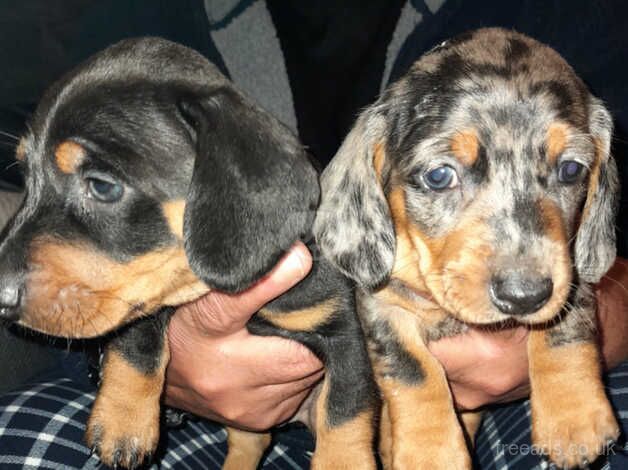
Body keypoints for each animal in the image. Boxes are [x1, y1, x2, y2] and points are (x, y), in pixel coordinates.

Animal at [0, 38, 376, 470]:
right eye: (27, 177)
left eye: (102, 186)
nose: (0, 298)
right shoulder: (144, 294)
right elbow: (136, 338)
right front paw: (124, 417)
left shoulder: (348, 335)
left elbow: (345, 410)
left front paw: (343, 460)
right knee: (251, 441)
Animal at [316, 28, 620, 470]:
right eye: (440, 176)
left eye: (570, 169)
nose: (524, 296)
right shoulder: (382, 306)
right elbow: (413, 369)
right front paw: (430, 451)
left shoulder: (571, 271)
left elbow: (564, 325)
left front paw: (573, 414)